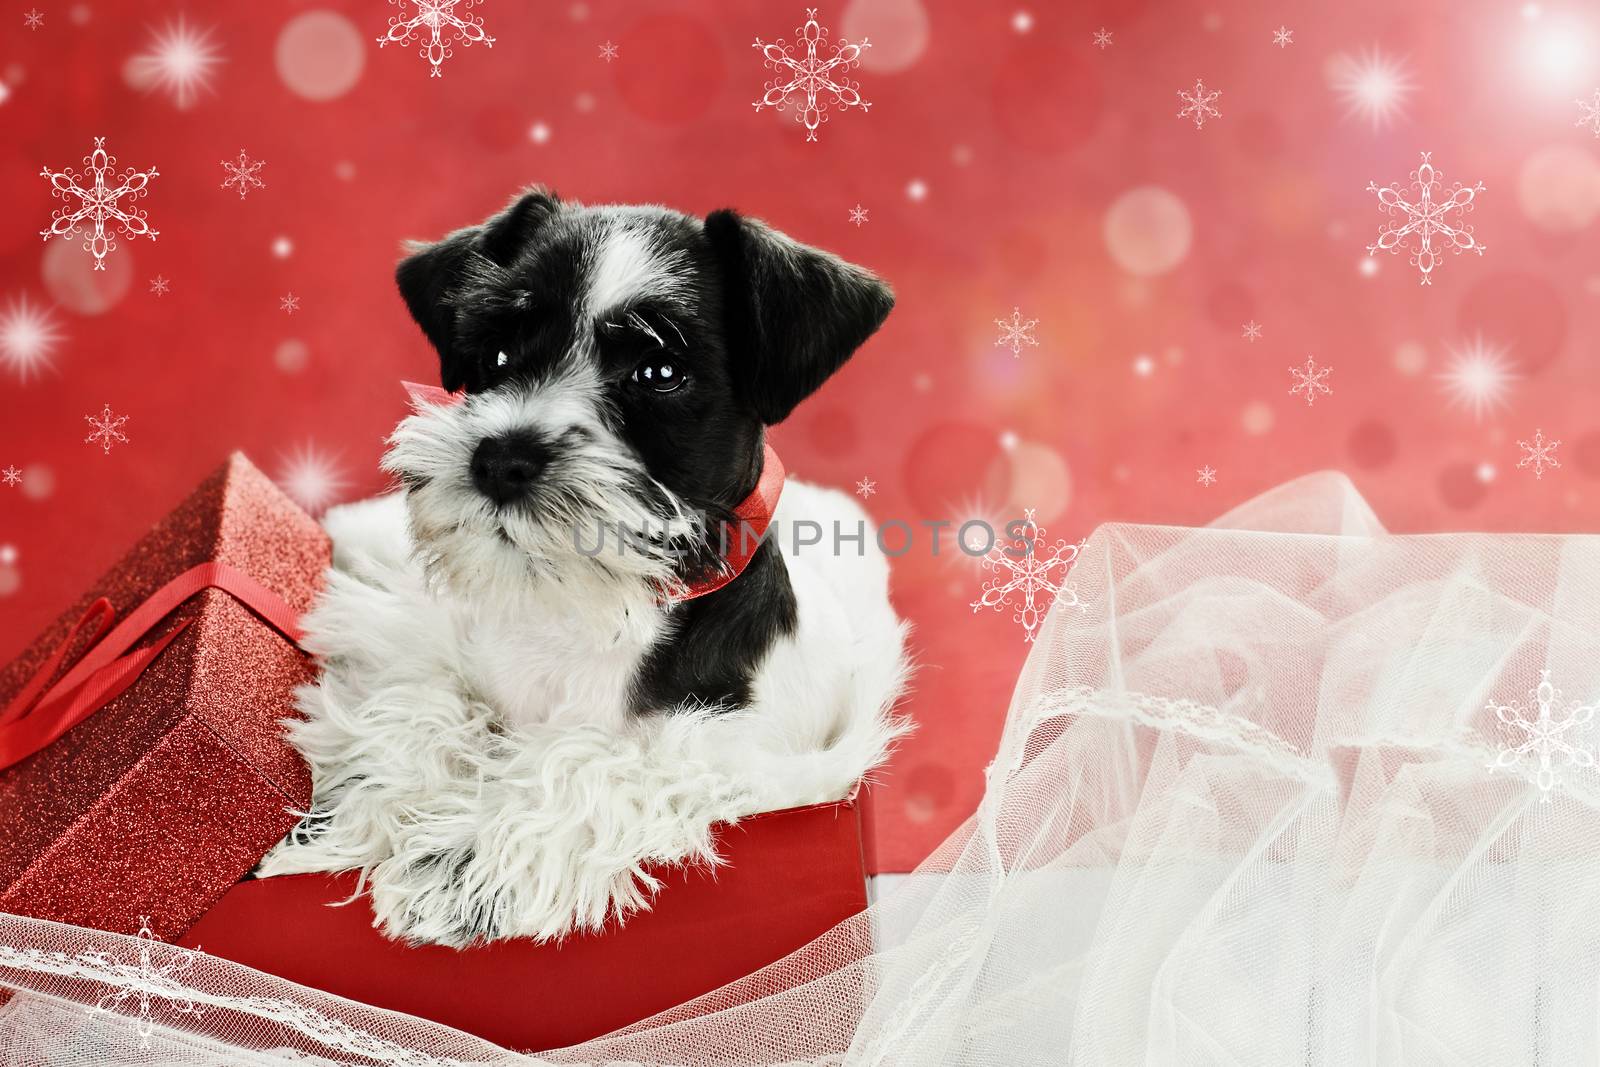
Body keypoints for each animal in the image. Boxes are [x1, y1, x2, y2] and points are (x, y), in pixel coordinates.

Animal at [262, 189, 915, 940]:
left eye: (660, 373)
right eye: (497, 353)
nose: (501, 455)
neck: (587, 606)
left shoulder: (746, 758)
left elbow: (605, 761)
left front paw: (465, 852)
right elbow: (424, 700)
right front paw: (355, 808)